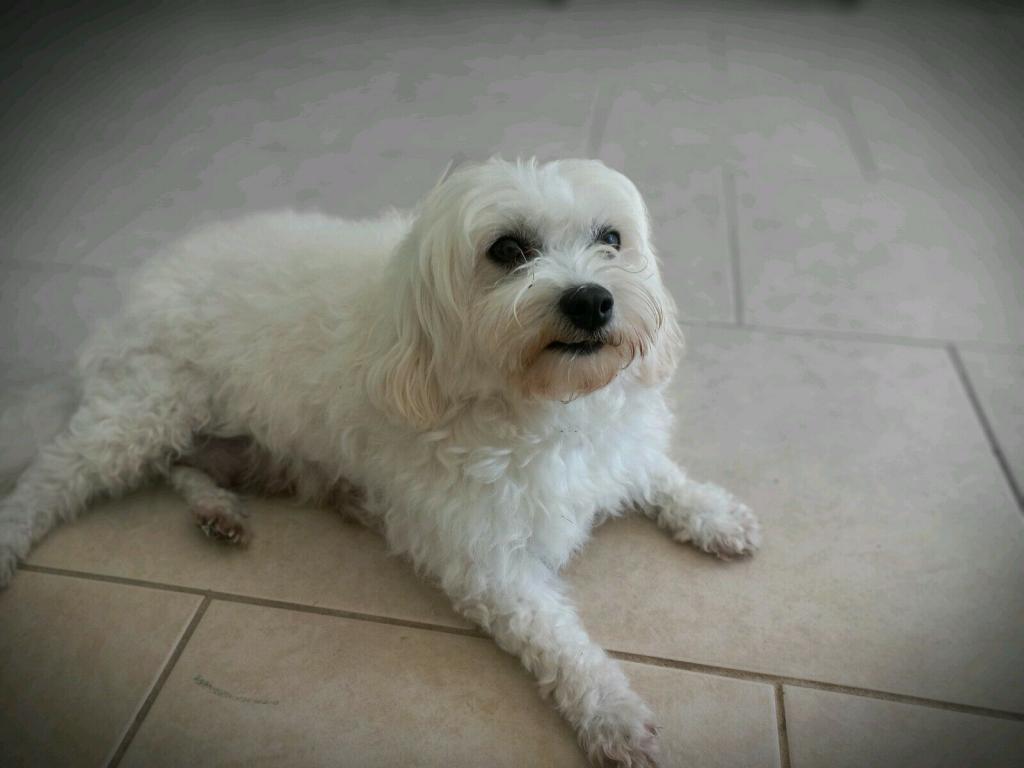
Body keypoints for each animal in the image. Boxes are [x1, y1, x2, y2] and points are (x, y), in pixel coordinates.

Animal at [0, 157, 760, 766]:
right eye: (507, 249)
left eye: (611, 239)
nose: (592, 300)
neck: (544, 405)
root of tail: (134, 292)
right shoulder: (487, 562)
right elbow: (560, 642)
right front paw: (609, 709)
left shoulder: (615, 451)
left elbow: (657, 474)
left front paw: (713, 513)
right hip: (143, 409)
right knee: (56, 473)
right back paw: (14, 536)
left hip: (229, 443)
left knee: (182, 467)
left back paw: (221, 510)